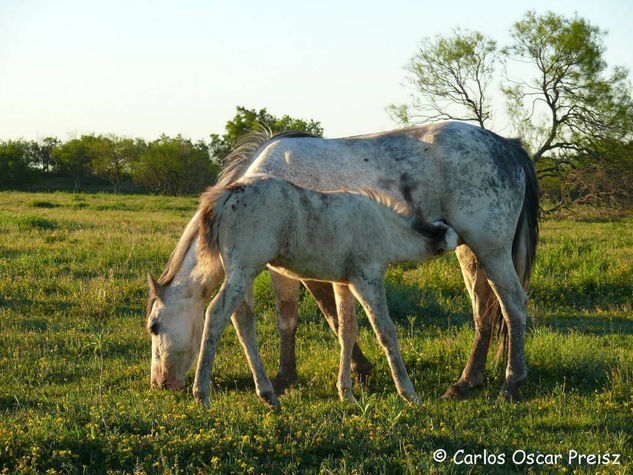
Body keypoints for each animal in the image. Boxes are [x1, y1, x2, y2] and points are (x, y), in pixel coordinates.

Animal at [193, 178, 454, 410]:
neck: (384, 227)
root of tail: (228, 194)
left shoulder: (344, 284)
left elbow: (346, 330)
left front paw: (346, 393)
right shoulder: (367, 278)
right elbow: (385, 331)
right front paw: (409, 394)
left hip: (242, 272)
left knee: (243, 320)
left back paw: (268, 394)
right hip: (245, 269)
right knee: (216, 313)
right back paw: (202, 394)